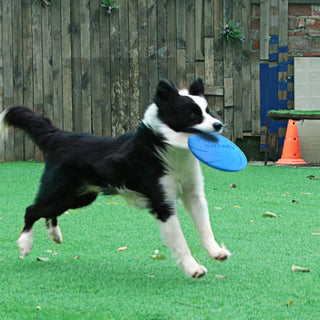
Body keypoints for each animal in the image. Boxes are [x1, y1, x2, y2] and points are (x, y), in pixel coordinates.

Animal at [0, 78, 230, 278]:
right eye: (192, 115)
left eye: (208, 111)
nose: (218, 125)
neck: (168, 148)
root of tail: (59, 136)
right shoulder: (162, 203)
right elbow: (181, 241)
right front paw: (194, 269)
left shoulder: (194, 194)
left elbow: (205, 226)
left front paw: (216, 251)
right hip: (61, 189)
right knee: (32, 209)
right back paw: (25, 243)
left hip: (79, 196)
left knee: (49, 211)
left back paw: (54, 234)